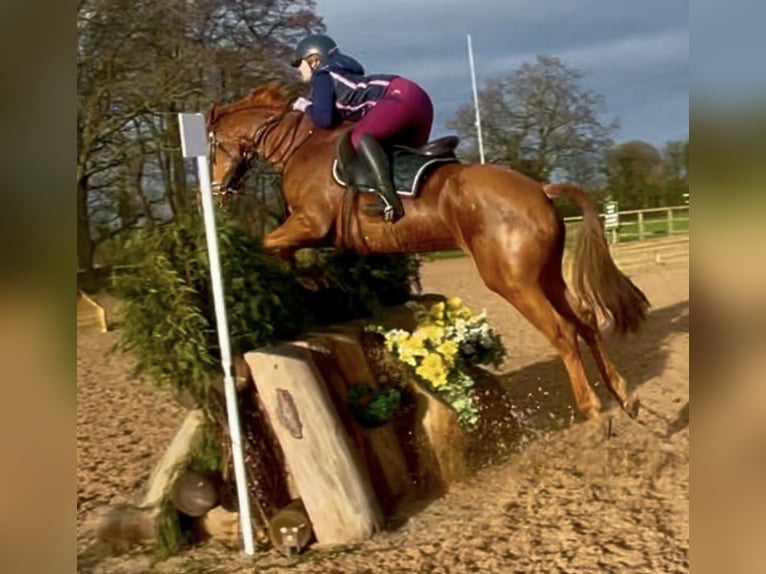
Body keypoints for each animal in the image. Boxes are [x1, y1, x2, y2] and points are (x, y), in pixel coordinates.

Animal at [205, 81, 650, 421]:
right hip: (546, 274)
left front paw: (294, 281)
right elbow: (287, 254)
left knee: (562, 332)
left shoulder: (309, 223)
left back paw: (594, 409)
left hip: (513, 282)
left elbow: (269, 246)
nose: (215, 192)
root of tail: (539, 189)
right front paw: (311, 282)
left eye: (211, 148)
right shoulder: (314, 233)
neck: (300, 146)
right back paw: (622, 394)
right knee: (586, 320)